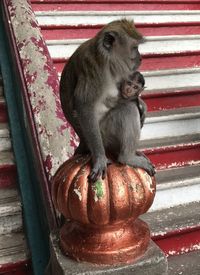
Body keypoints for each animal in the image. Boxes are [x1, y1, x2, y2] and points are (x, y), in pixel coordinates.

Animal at [60, 19, 155, 183]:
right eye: (134, 48)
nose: (141, 58)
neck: (106, 59)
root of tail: (83, 143)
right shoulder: (94, 70)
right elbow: (85, 106)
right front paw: (100, 158)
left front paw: (143, 104)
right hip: (105, 136)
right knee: (128, 109)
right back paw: (127, 157)